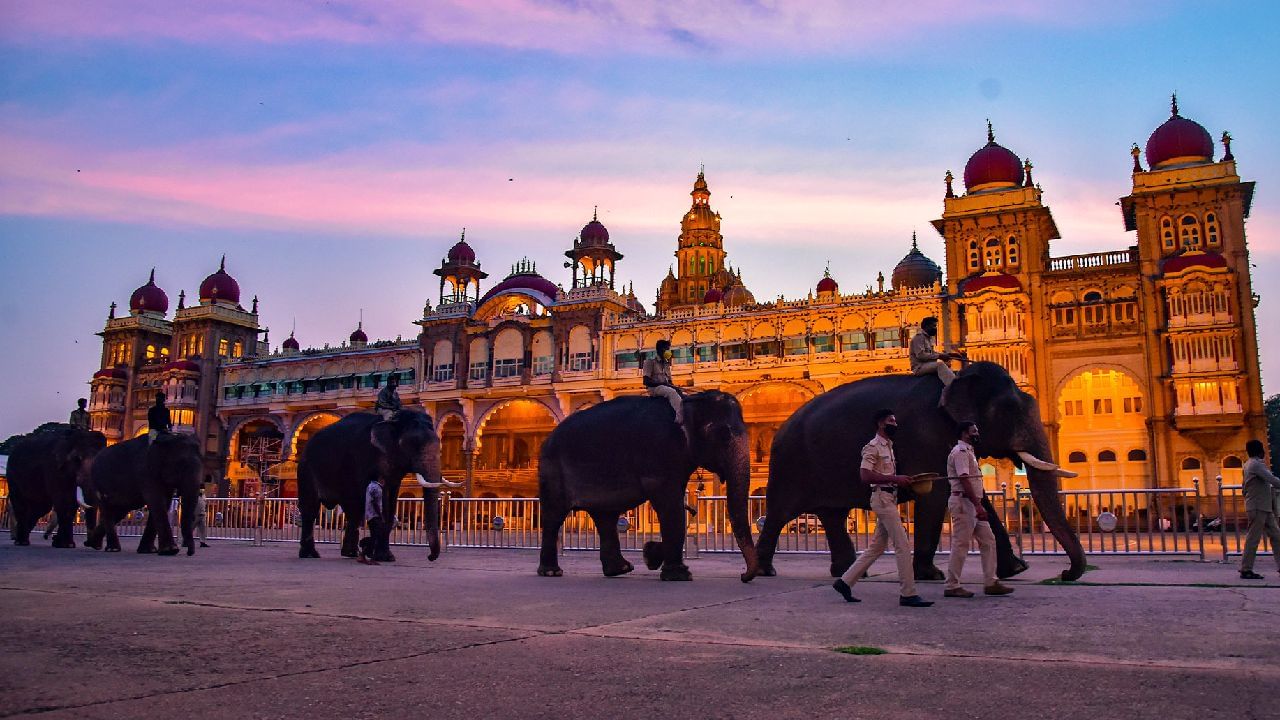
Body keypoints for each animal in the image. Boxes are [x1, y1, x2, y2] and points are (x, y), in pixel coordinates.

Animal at [296, 409, 458, 561]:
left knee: (353, 510)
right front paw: (382, 555)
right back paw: (310, 554)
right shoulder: (362, 459)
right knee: (310, 509)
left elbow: (390, 504)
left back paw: (351, 553)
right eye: (413, 445)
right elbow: (376, 502)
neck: (394, 421)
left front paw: (381, 554)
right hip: (306, 468)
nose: (430, 557)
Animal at [532, 389, 752, 579]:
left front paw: (652, 555)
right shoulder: (658, 452)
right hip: (552, 472)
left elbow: (677, 504)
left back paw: (620, 569)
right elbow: (670, 505)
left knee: (605, 516)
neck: (689, 399)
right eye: (723, 434)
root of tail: (547, 438)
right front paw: (679, 575)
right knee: (554, 516)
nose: (744, 576)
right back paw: (551, 572)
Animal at [752, 361, 1085, 579]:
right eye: (1009, 410)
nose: (1066, 573)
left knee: (832, 514)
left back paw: (847, 570)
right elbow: (935, 495)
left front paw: (1016, 570)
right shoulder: (927, 437)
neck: (956, 378)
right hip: (789, 465)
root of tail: (781, 428)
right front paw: (932, 575)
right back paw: (765, 570)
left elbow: (978, 497)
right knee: (779, 513)